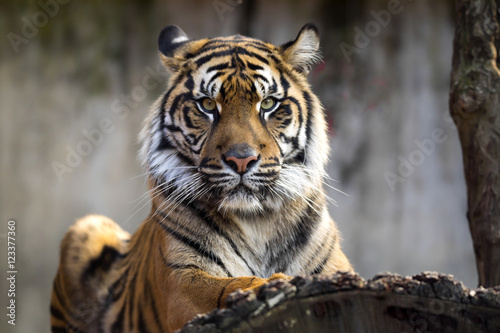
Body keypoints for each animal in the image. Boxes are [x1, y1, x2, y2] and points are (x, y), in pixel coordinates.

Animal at [49, 24, 352, 332]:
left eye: (268, 103)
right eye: (207, 104)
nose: (241, 159)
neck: (257, 223)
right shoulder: (179, 282)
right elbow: (231, 286)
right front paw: (274, 284)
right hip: (86, 227)